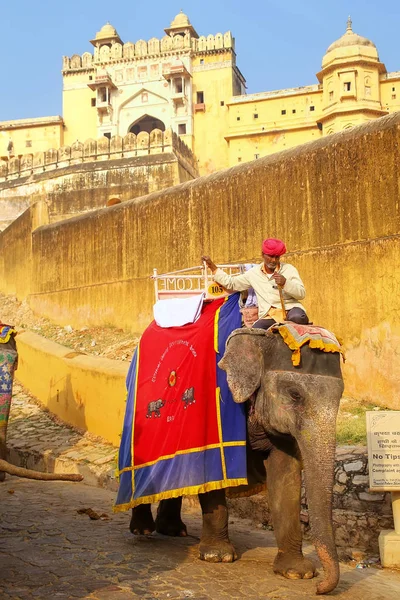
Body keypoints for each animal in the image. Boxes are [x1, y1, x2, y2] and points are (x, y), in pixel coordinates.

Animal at [129, 328, 344, 596]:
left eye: (340, 397)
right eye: (295, 395)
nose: (319, 588)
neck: (262, 338)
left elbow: (286, 476)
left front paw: (297, 573)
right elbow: (211, 472)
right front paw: (217, 557)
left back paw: (173, 530)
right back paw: (143, 529)